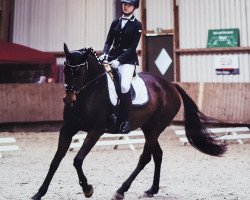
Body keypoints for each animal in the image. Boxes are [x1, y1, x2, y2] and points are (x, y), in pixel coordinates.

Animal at [31, 44, 227, 200]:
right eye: (65, 70)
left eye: (79, 72)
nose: (69, 100)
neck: (89, 93)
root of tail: (171, 85)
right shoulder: (68, 128)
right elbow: (55, 161)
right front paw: (39, 193)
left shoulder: (96, 130)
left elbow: (77, 160)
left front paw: (87, 189)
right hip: (148, 128)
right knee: (157, 154)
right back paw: (152, 189)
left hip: (156, 127)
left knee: (145, 157)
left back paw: (121, 190)